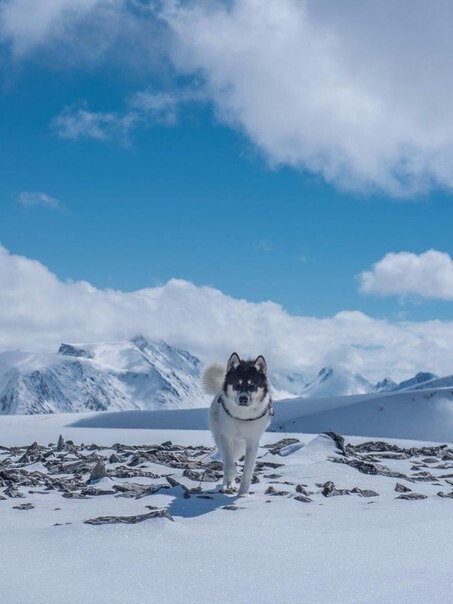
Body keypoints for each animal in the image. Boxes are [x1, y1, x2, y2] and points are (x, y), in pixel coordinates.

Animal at [204, 354, 274, 496]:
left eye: (252, 385)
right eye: (237, 384)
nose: (243, 399)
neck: (243, 417)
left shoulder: (252, 442)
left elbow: (247, 470)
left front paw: (243, 493)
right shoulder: (226, 437)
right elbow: (229, 465)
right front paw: (231, 478)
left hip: (240, 446)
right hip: (223, 440)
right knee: (226, 461)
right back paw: (227, 484)